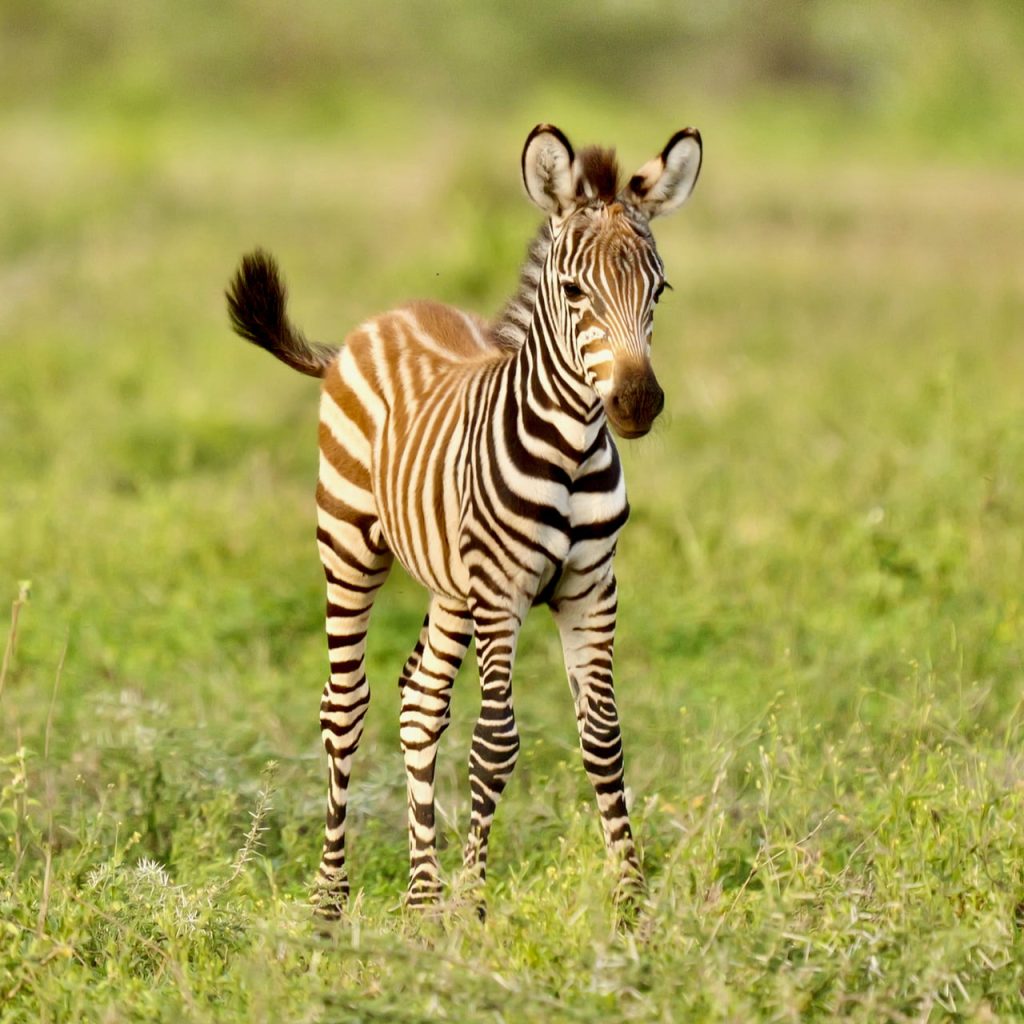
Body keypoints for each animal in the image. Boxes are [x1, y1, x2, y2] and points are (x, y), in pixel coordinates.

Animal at [226, 123, 702, 918]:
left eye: (659, 290)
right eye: (574, 291)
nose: (636, 404)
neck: (572, 450)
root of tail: (375, 323)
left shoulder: (590, 586)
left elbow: (603, 739)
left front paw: (633, 903)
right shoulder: (503, 592)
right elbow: (496, 742)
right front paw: (476, 905)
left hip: (451, 586)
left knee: (420, 700)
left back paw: (423, 896)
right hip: (349, 543)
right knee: (343, 707)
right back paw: (331, 897)